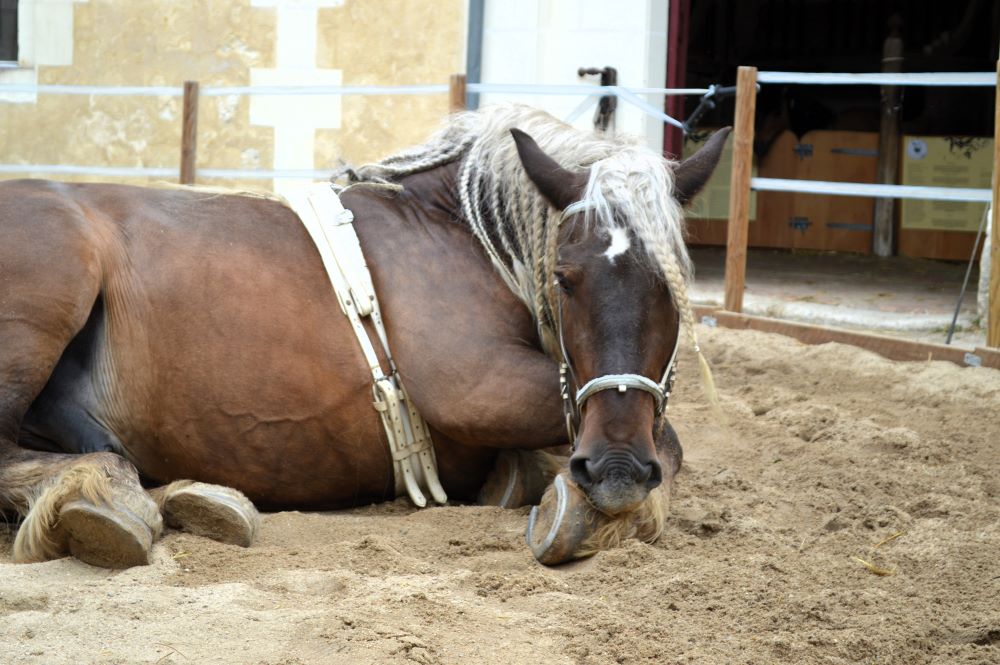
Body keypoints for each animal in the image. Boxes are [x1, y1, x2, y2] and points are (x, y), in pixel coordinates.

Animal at [0, 104, 729, 568]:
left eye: (676, 286)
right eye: (564, 278)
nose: (616, 468)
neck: (455, 232)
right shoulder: (476, 386)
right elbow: (670, 438)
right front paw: (577, 508)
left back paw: (198, 499)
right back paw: (105, 499)